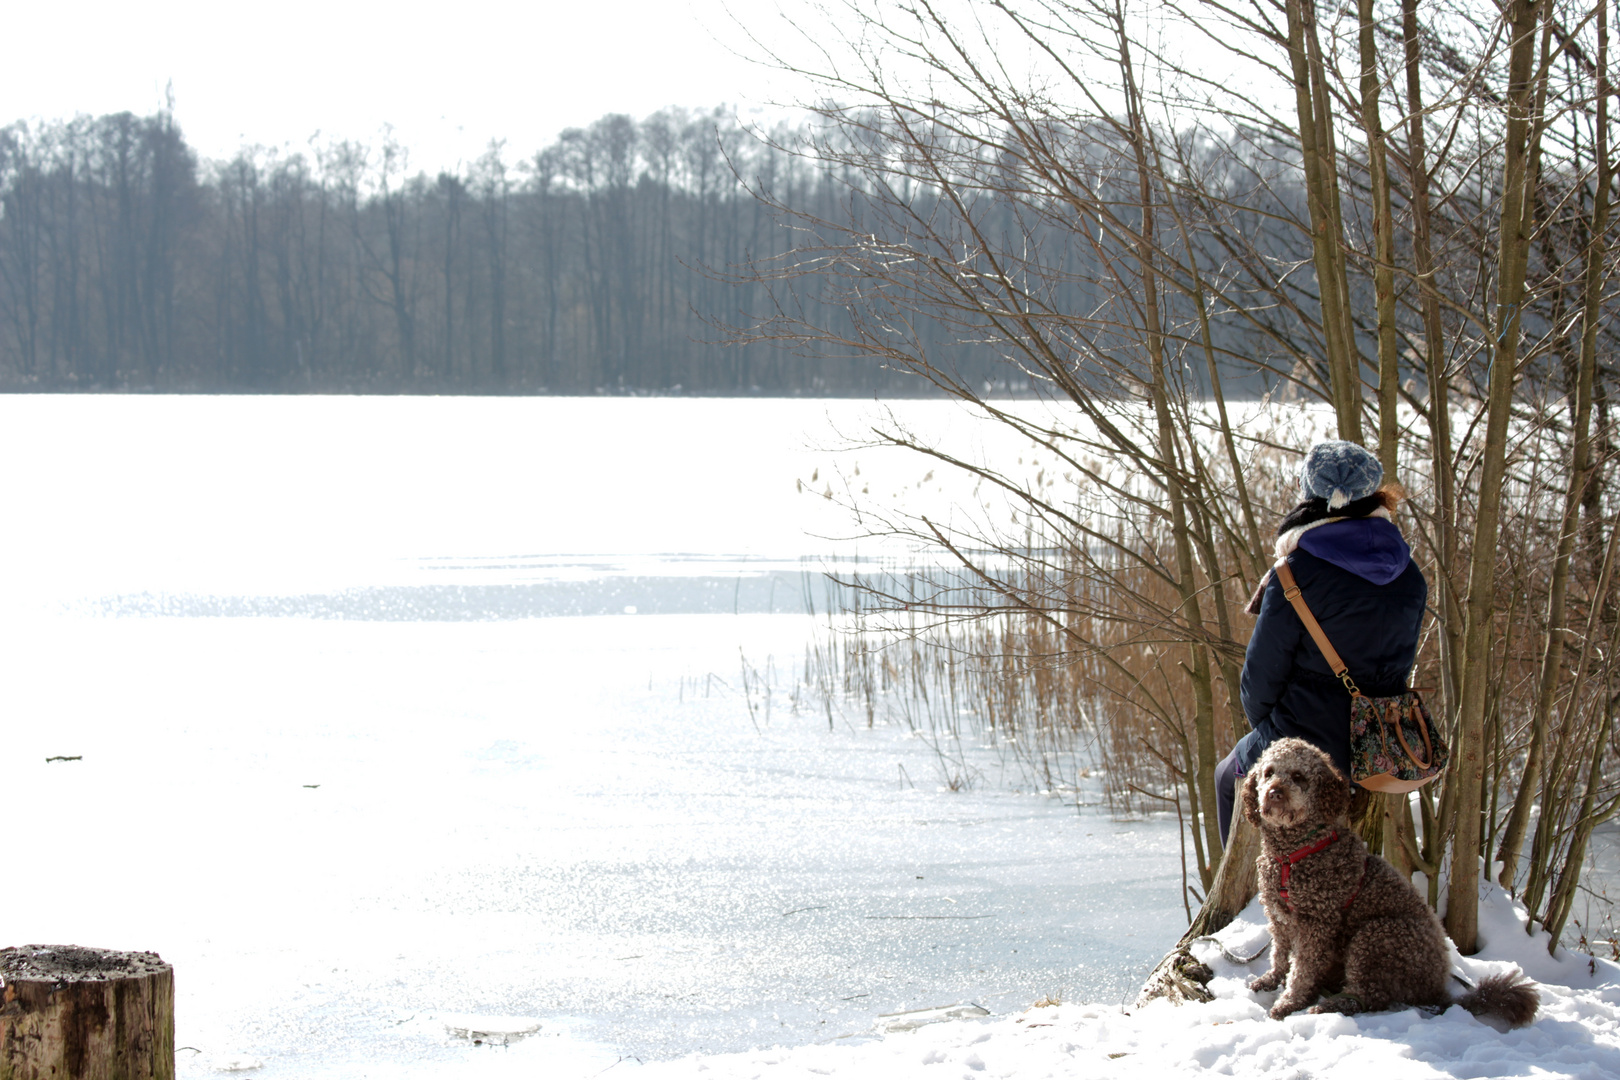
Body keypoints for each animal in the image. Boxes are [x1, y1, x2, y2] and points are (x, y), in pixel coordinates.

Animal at [1244, 735, 1535, 1029]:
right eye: (1268, 773)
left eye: (1298, 776)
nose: (1274, 793)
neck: (1292, 854)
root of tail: (1437, 991)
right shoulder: (1279, 917)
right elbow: (1279, 953)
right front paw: (1272, 979)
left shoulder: (1316, 924)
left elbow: (1302, 970)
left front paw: (1289, 1002)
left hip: (1376, 935)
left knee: (1369, 997)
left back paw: (1329, 1006)